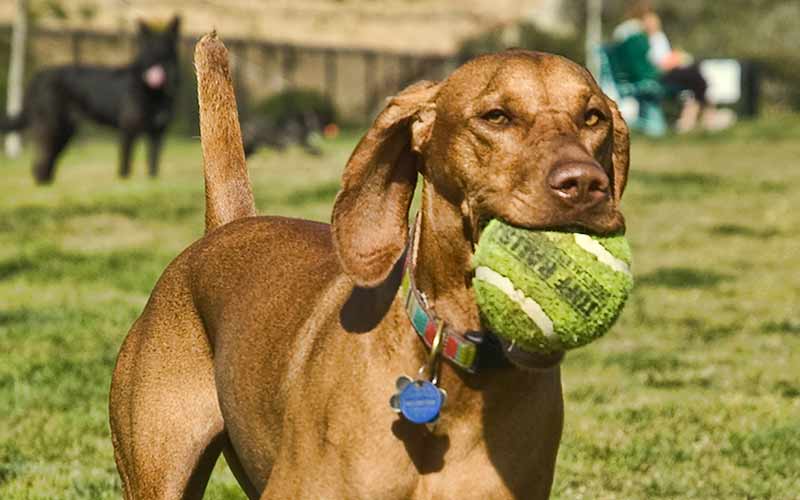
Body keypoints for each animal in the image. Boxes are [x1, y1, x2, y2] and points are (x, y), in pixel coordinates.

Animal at [0, 17, 180, 186]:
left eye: (163, 45)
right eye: (148, 46)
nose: (153, 57)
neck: (154, 90)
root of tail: (39, 76)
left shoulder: (158, 132)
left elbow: (153, 165)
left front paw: (151, 184)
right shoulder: (128, 130)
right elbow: (125, 165)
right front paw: (125, 185)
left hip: (65, 131)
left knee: (47, 161)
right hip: (52, 127)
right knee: (41, 161)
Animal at [109, 33, 628, 498]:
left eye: (594, 117)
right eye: (496, 116)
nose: (585, 184)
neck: (456, 370)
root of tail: (229, 225)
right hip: (158, 475)